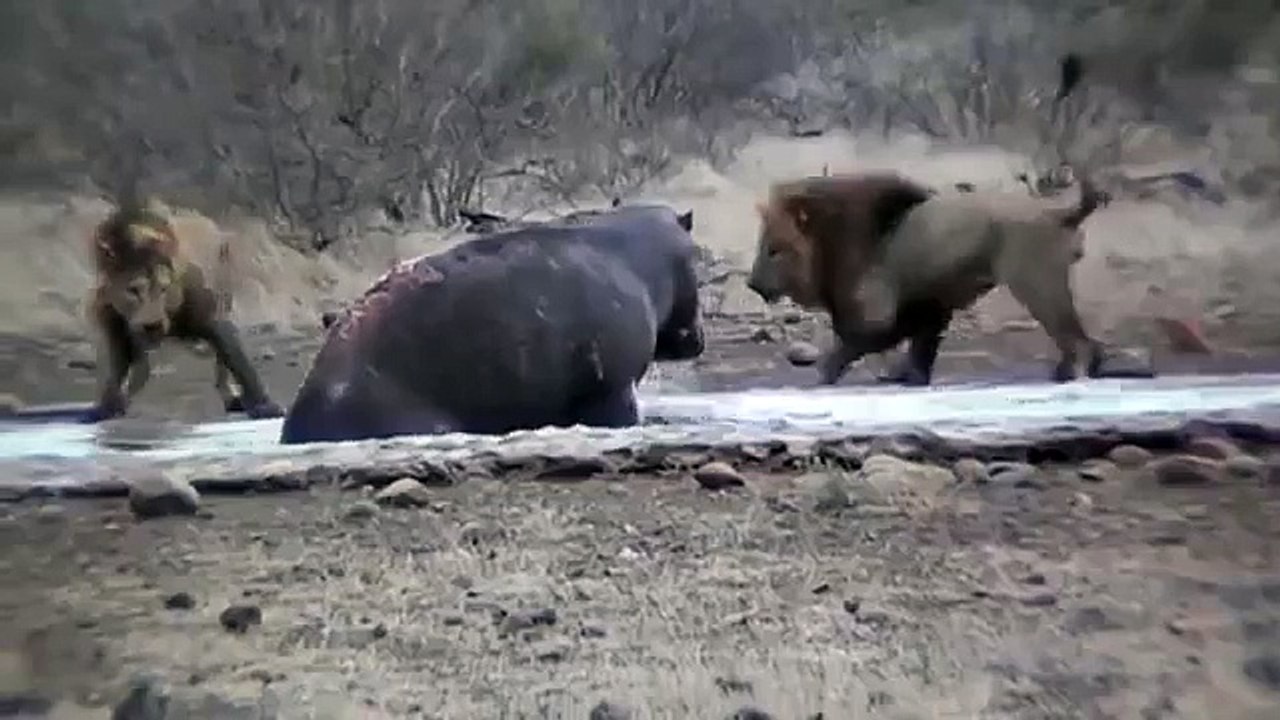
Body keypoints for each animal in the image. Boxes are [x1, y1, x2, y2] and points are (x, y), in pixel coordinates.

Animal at [85, 199, 284, 422]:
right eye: (133, 290)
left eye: (164, 288)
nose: (153, 326)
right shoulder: (112, 321)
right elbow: (116, 367)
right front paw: (107, 406)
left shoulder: (213, 316)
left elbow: (239, 361)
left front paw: (265, 405)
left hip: (224, 295)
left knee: (221, 363)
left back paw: (231, 396)